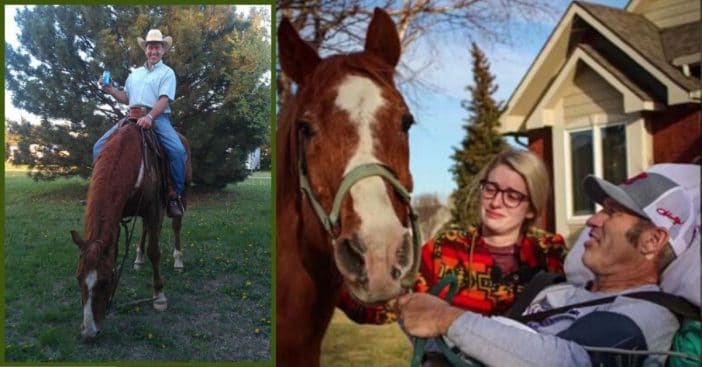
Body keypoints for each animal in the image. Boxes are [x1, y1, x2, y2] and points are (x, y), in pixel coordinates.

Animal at [71, 120, 190, 340]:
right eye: (78, 277)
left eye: (106, 280)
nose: (89, 331)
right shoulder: (120, 217)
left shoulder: (152, 208)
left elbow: (155, 252)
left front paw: (159, 296)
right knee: (145, 229)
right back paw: (138, 259)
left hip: (182, 194)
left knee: (176, 225)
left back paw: (178, 261)